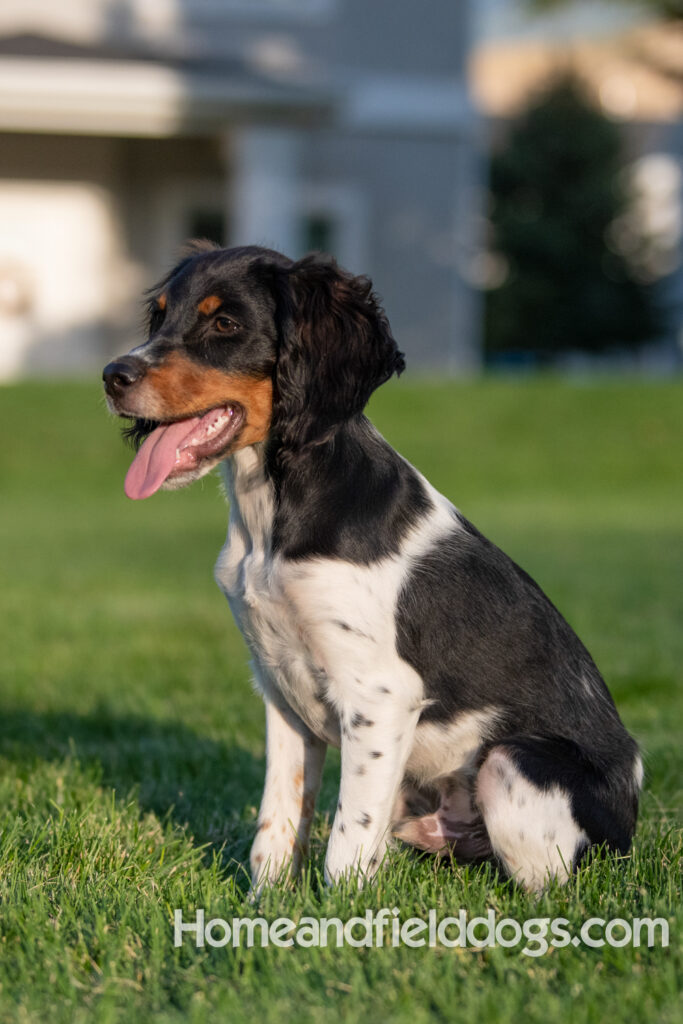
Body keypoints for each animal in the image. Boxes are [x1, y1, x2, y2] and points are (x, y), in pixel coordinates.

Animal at [101, 239, 643, 888]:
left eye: (225, 324)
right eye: (158, 318)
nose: (111, 377)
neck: (271, 519)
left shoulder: (381, 697)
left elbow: (347, 841)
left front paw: (336, 911)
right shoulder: (278, 689)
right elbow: (276, 825)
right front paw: (266, 903)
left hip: (512, 763)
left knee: (552, 885)